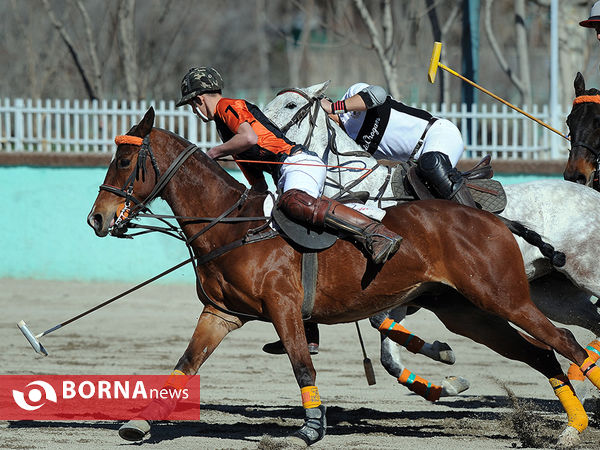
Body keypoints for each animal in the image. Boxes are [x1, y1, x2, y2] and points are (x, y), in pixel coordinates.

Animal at [88, 108, 600, 446]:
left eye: (125, 162)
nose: (97, 218)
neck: (229, 225)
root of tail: (496, 220)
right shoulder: (221, 313)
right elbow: (183, 367)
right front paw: (139, 424)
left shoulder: (284, 307)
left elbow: (302, 364)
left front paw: (311, 429)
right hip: (470, 312)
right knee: (542, 353)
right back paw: (571, 427)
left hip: (505, 297)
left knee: (567, 343)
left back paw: (577, 421)